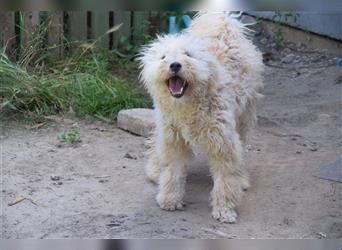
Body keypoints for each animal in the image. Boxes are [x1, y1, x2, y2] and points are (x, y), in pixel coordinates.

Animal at [138, 12, 264, 223]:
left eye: (188, 54)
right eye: (163, 57)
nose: (174, 64)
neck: (188, 105)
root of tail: (225, 26)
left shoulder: (224, 143)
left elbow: (225, 180)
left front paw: (224, 210)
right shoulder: (174, 139)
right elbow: (172, 172)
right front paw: (169, 199)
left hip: (244, 117)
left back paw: (242, 179)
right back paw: (155, 170)